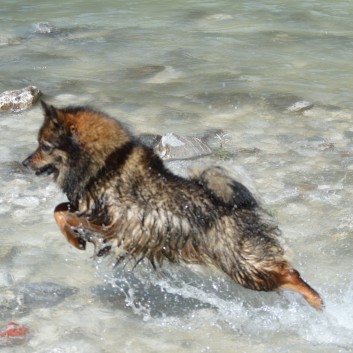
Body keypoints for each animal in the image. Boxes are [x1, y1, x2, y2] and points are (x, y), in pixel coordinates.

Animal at [22, 101, 324, 308]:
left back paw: (316, 300)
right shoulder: (92, 211)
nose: (24, 162)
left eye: (45, 146)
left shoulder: (115, 222)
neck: (105, 163)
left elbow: (67, 216)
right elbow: (59, 211)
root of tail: (239, 207)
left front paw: (76, 237)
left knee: (289, 273)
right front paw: (75, 240)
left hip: (242, 265)